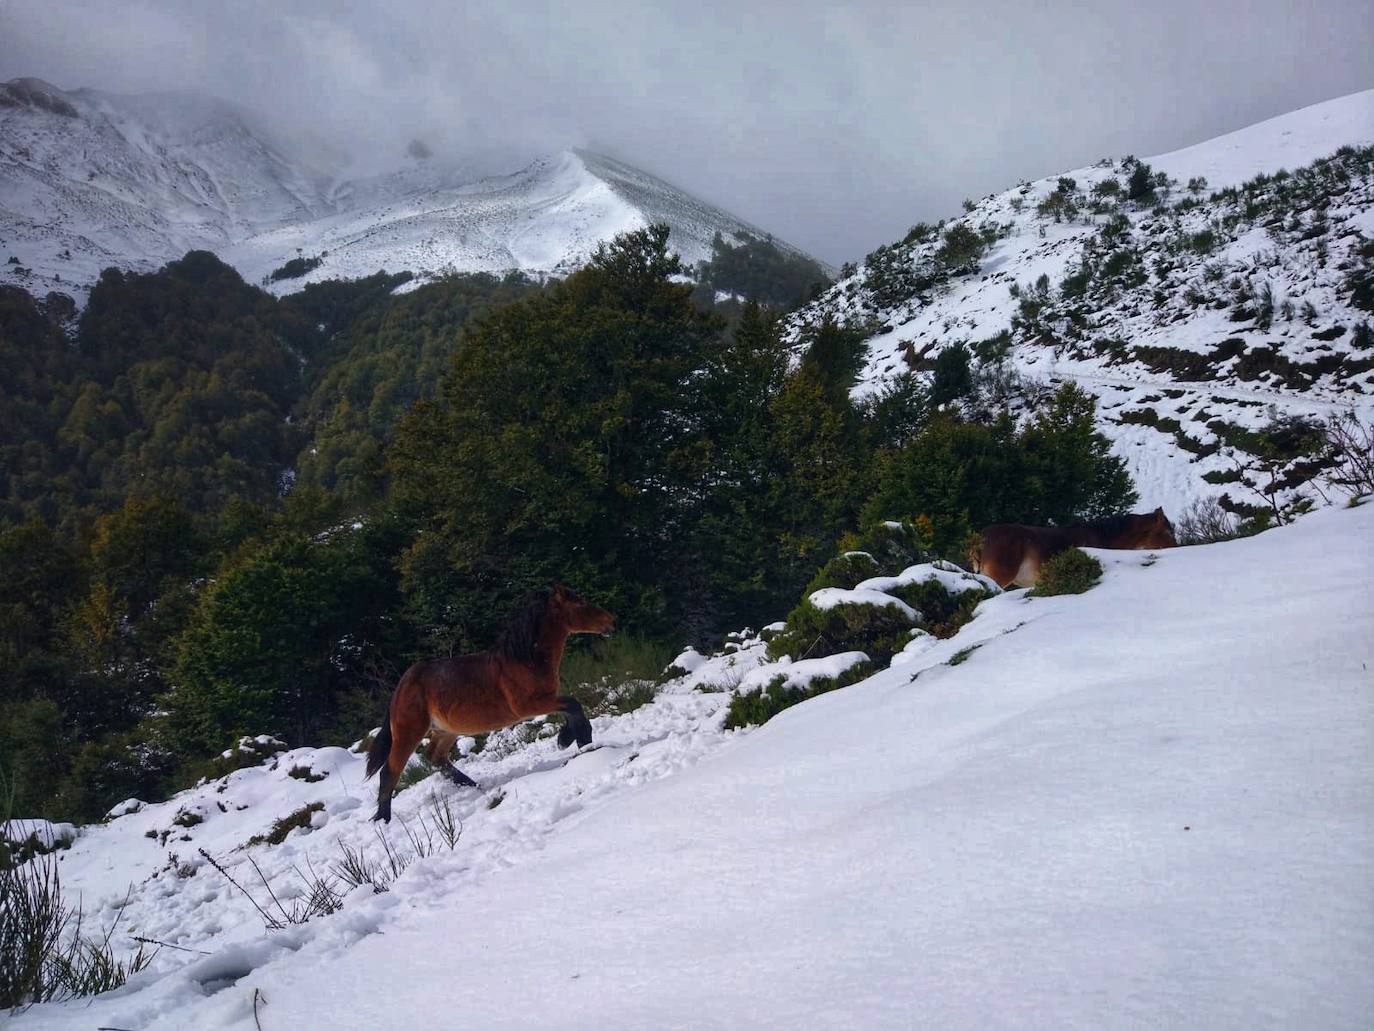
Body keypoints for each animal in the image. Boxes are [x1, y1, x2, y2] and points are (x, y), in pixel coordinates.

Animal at [370, 588, 618, 824]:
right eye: (581, 603)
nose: (612, 622)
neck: (525, 660)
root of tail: (400, 687)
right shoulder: (530, 705)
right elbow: (573, 705)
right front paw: (576, 740)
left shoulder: (547, 700)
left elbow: (571, 709)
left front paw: (572, 740)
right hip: (409, 733)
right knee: (390, 771)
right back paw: (383, 820)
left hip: (446, 730)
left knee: (434, 757)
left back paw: (474, 786)